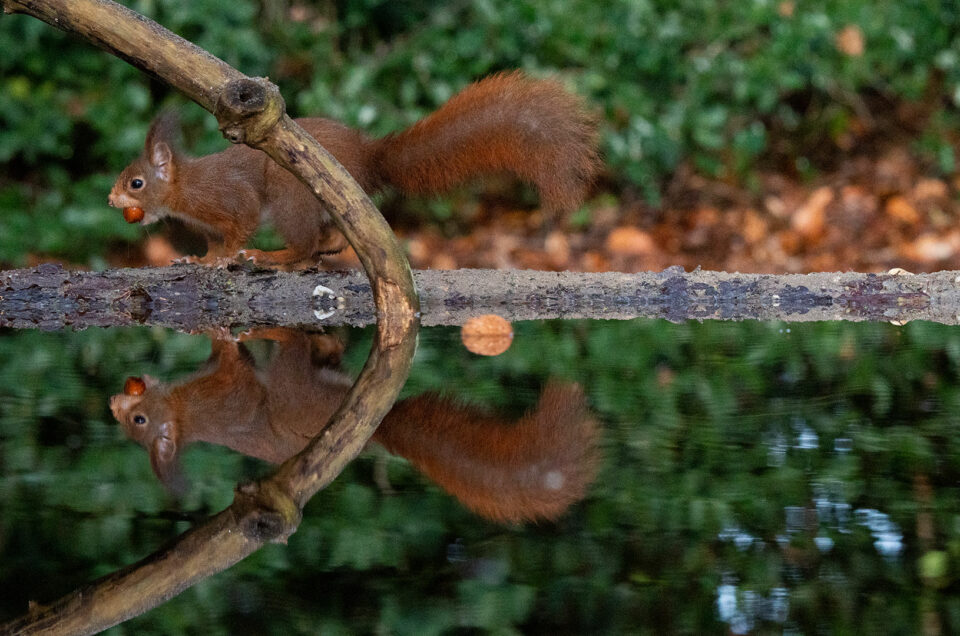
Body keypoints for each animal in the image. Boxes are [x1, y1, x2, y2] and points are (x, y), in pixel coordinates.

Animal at [109, 72, 596, 266]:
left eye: (136, 182)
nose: (112, 199)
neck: (183, 191)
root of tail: (366, 158)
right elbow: (212, 242)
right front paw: (197, 258)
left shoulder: (228, 198)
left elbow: (238, 227)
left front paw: (223, 259)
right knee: (332, 238)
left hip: (290, 194)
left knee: (304, 244)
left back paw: (275, 257)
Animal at [109, 328, 596, 520]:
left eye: (138, 419)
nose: (114, 401)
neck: (184, 409)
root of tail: (374, 425)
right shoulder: (231, 391)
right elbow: (234, 362)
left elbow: (227, 353)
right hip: (293, 388)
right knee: (294, 356)